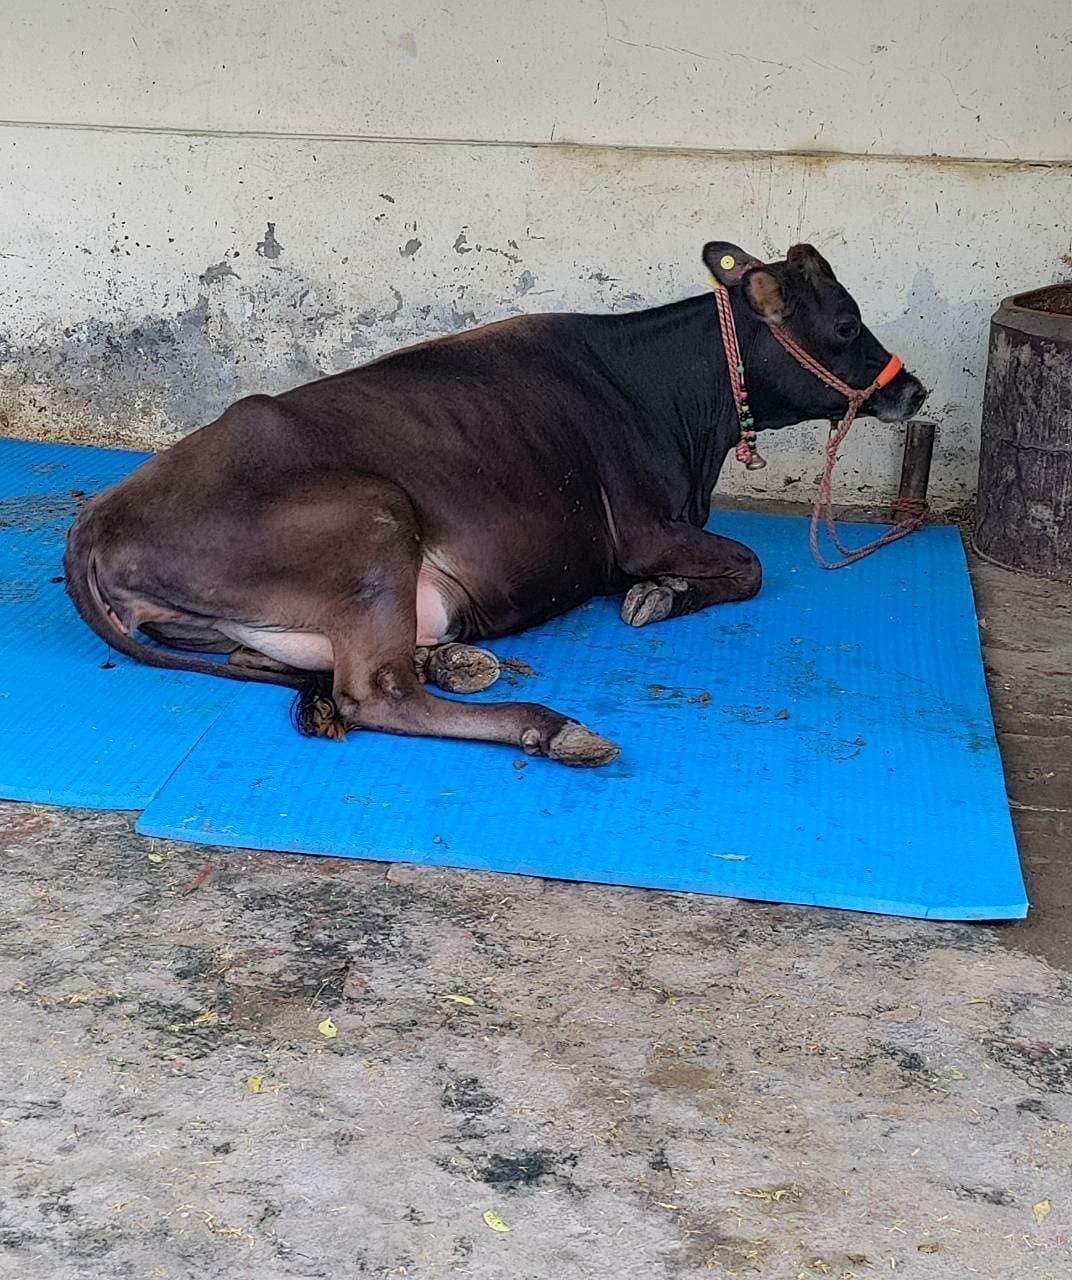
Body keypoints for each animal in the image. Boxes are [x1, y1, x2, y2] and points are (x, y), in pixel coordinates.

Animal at [64, 241, 927, 767]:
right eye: (845, 323)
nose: (914, 390)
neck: (679, 406)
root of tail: (97, 516)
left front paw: (665, 595)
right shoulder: (643, 531)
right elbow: (749, 567)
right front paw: (659, 596)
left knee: (280, 662)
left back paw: (455, 658)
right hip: (374, 517)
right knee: (376, 693)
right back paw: (550, 725)